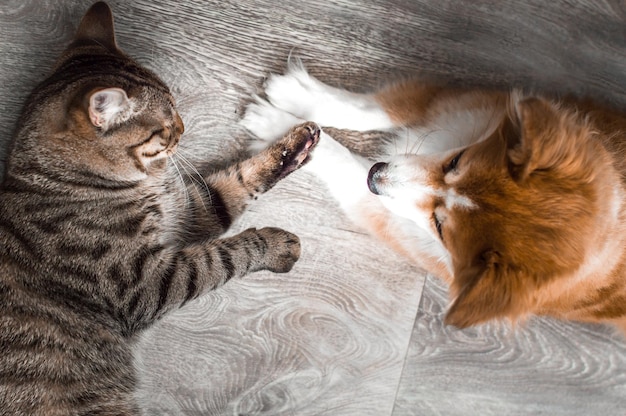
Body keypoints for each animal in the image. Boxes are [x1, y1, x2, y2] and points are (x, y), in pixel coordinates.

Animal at [0, 2, 314, 412]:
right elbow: (223, 256)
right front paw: (275, 246)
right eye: (166, 125)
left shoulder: (184, 210)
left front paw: (292, 147)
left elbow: (236, 182)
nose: (184, 127)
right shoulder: (148, 283)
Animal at [243, 61, 624, 334]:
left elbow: (345, 163)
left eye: (441, 227)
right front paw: (299, 97)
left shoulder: (398, 226)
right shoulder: (472, 105)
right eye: (456, 161)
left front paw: (282, 132)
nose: (376, 174)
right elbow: (376, 109)